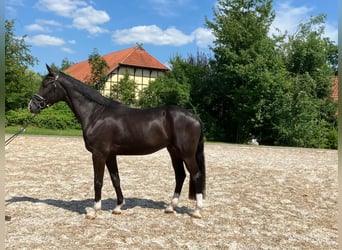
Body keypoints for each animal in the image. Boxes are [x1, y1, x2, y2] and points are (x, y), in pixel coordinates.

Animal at [28, 64, 206, 219]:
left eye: (46, 84)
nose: (31, 106)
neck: (96, 114)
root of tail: (194, 117)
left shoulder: (99, 154)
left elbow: (98, 181)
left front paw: (94, 212)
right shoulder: (110, 155)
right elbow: (116, 180)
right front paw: (118, 207)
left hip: (186, 153)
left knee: (196, 174)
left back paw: (197, 211)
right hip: (173, 151)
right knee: (180, 175)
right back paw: (170, 207)